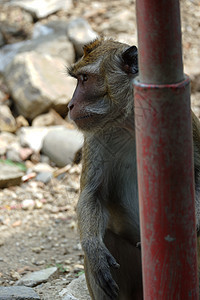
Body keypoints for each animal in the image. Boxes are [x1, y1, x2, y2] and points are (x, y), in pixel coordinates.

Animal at [67, 38, 200, 298]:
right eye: (78, 79)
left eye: (85, 79)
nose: (70, 105)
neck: (130, 122)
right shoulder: (97, 136)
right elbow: (92, 194)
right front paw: (95, 252)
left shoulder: (186, 123)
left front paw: (195, 222)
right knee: (107, 242)